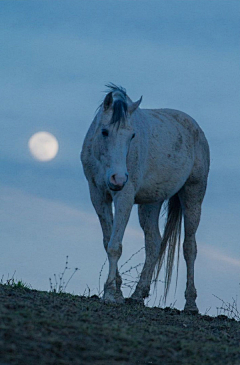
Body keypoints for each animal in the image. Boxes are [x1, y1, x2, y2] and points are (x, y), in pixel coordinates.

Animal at [80, 84, 208, 312]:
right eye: (104, 131)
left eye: (132, 136)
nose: (118, 178)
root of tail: (196, 128)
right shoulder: (97, 195)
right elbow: (108, 241)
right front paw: (118, 292)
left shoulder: (124, 196)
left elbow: (115, 246)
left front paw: (110, 293)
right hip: (151, 203)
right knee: (154, 243)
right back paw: (138, 294)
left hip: (193, 195)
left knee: (189, 248)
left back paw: (191, 304)